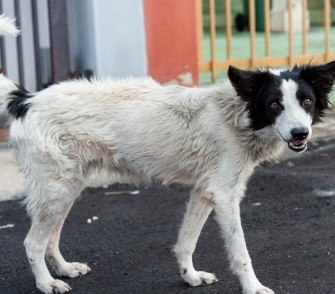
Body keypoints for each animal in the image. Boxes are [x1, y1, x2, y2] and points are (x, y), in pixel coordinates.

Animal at [0, 14, 334, 294]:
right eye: (274, 104)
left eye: (306, 101)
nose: (300, 134)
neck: (236, 116)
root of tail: (26, 99)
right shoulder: (225, 197)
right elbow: (241, 253)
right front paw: (253, 287)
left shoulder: (203, 192)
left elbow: (186, 241)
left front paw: (190, 276)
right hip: (57, 189)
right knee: (32, 242)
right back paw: (47, 283)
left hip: (66, 189)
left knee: (51, 238)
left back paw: (64, 269)